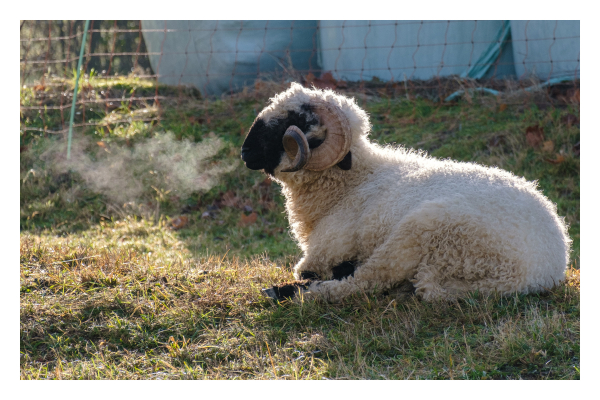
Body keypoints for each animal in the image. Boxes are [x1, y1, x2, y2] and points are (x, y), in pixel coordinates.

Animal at [240, 83, 572, 302]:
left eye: (294, 120)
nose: (245, 152)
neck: (351, 183)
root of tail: (536, 273)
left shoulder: (325, 252)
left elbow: (306, 270)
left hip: (423, 230)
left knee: (367, 281)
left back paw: (291, 292)